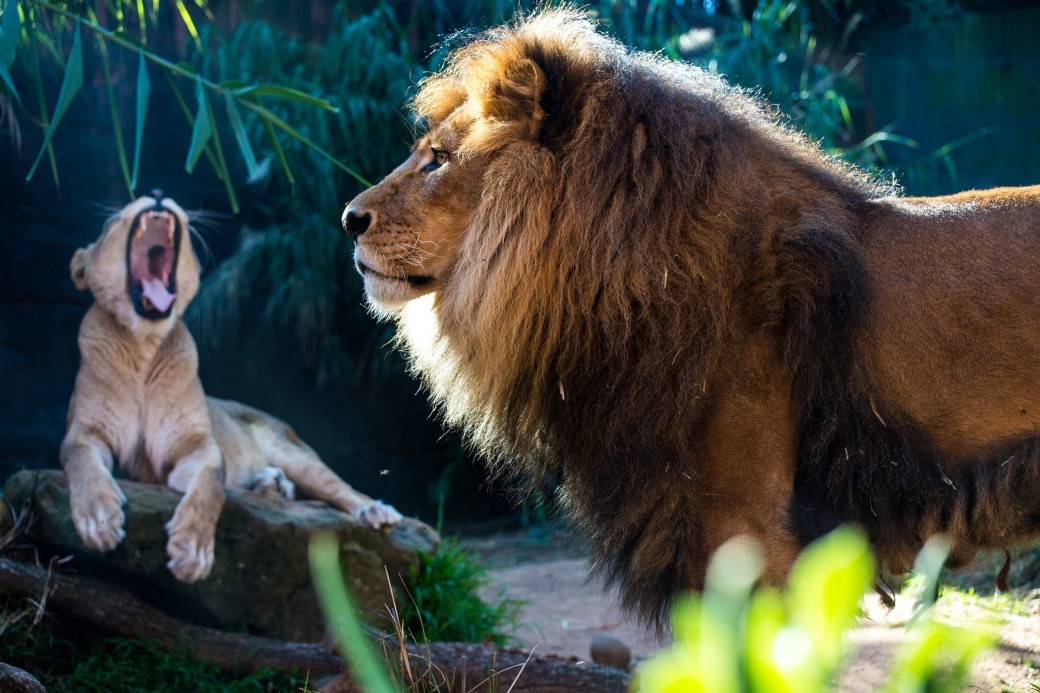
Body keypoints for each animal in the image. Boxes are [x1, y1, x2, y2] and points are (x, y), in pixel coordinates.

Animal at [62, 191, 401, 583]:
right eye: (111, 221)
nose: (159, 194)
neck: (144, 346)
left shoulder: (199, 446)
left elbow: (211, 486)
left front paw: (192, 552)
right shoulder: (85, 431)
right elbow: (81, 459)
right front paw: (98, 520)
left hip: (294, 452)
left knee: (340, 488)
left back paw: (375, 511)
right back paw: (270, 484)